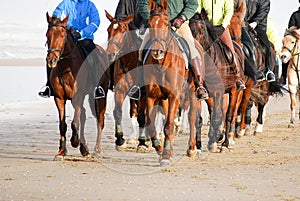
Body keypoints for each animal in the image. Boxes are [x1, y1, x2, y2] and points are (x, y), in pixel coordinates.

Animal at [45, 12, 109, 160]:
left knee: (100, 119)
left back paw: (97, 150)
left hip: (99, 96)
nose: (51, 60)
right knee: (84, 115)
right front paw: (61, 152)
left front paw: (75, 141)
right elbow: (63, 125)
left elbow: (75, 122)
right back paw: (84, 149)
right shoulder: (59, 98)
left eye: (62, 35)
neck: (65, 68)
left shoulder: (78, 96)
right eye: (47, 35)